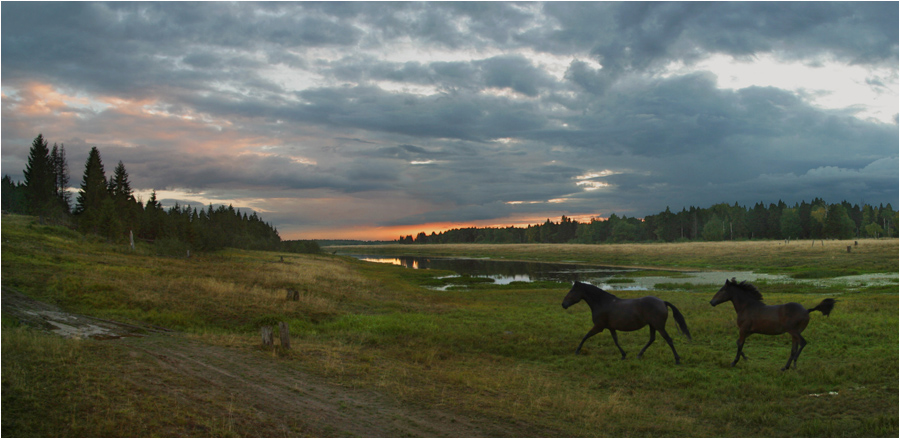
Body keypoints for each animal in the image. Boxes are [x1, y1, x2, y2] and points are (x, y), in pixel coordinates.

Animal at [560, 282, 692, 364]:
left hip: (659, 326)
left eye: (572, 292)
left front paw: (577, 351)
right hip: (652, 325)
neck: (602, 303)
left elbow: (585, 336)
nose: (563, 304)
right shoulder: (610, 327)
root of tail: (663, 302)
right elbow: (616, 340)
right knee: (652, 339)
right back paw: (639, 355)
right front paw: (623, 355)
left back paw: (677, 360)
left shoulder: (598, 326)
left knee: (668, 340)